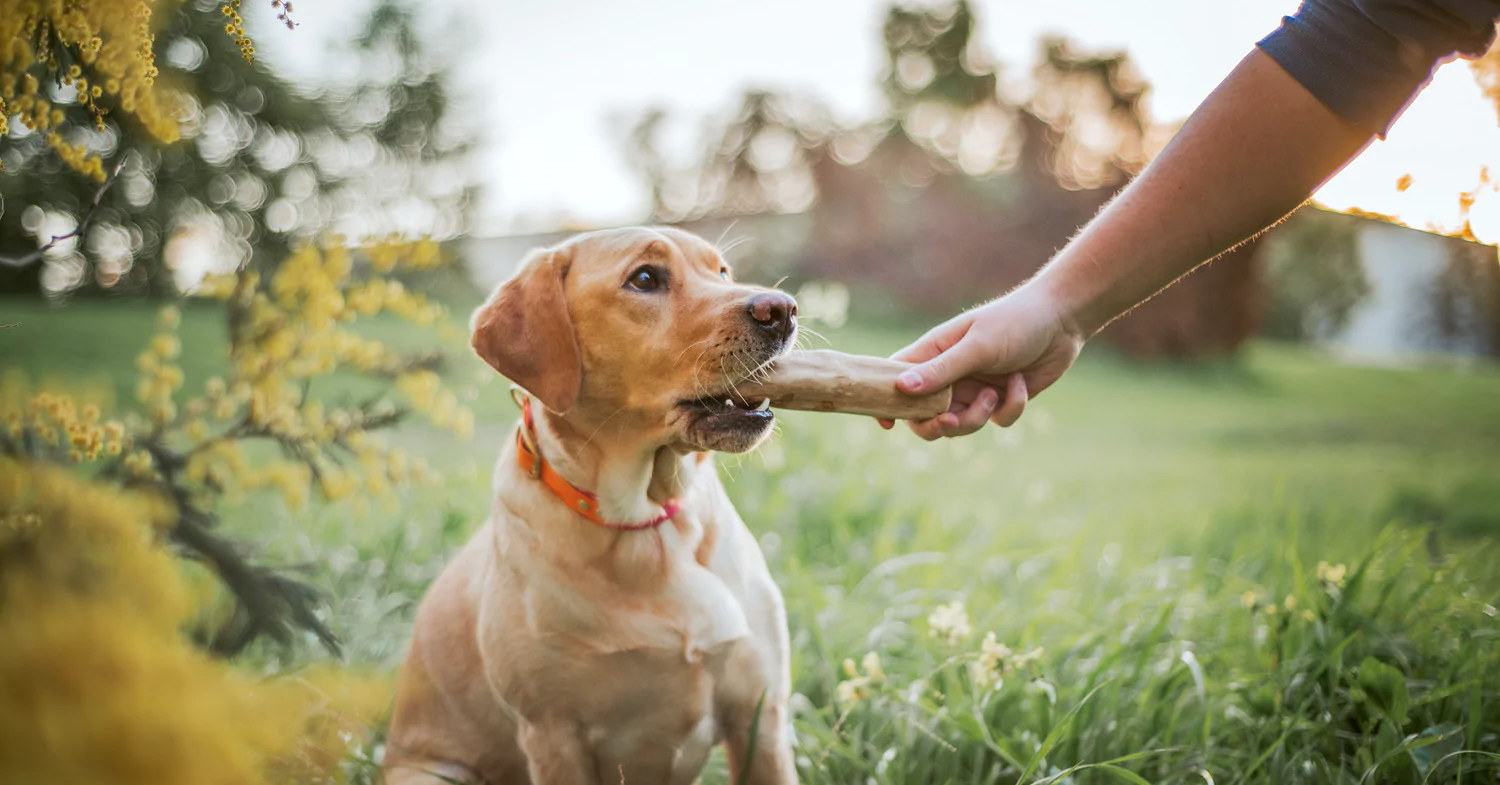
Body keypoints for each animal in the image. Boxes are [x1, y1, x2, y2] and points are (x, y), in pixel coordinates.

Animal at [387, 225, 804, 785]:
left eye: (722, 272)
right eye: (645, 279)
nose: (782, 309)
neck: (647, 519)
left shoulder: (760, 718)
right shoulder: (555, 737)